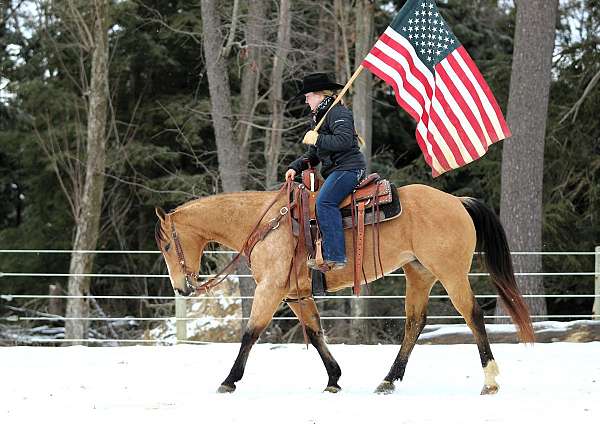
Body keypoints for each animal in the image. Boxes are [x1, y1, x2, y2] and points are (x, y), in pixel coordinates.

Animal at [155, 181, 536, 396]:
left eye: (168, 246)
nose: (181, 288)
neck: (265, 223)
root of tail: (457, 201)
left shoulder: (270, 290)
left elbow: (250, 334)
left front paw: (229, 380)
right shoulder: (295, 295)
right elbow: (315, 333)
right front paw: (334, 379)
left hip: (451, 273)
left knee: (473, 316)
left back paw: (490, 380)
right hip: (419, 274)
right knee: (415, 323)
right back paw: (388, 380)